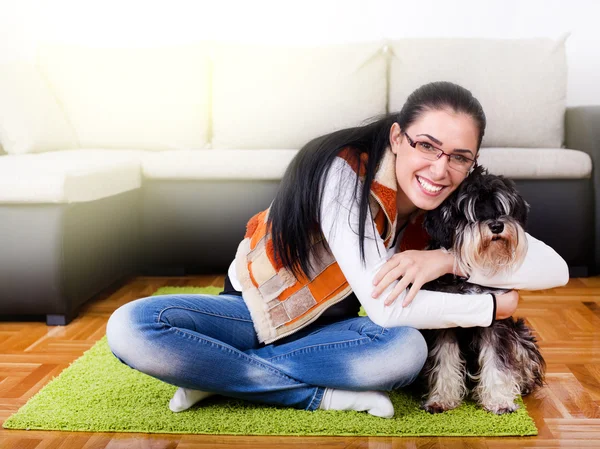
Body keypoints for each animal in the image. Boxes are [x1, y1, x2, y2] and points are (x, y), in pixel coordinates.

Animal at [414, 164, 548, 412]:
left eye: (501, 206)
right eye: (471, 210)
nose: (496, 225)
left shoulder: (496, 321)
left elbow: (497, 361)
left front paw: (499, 400)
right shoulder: (443, 325)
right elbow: (444, 360)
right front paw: (441, 399)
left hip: (519, 333)